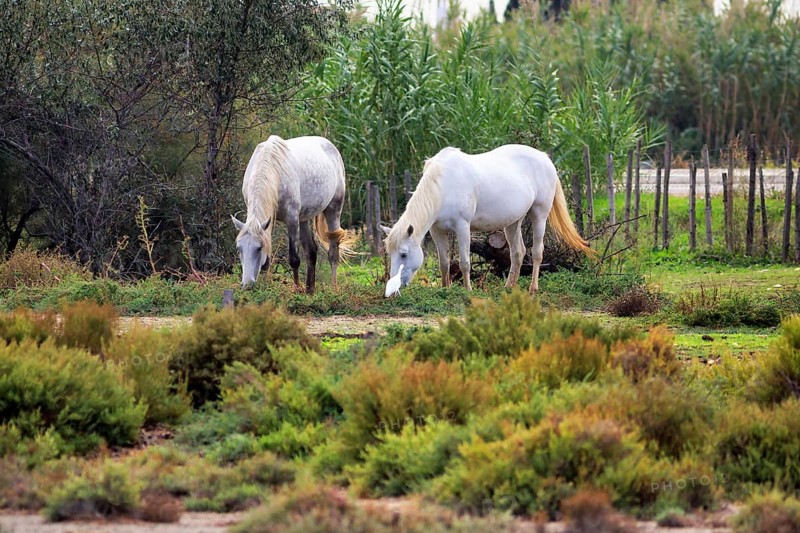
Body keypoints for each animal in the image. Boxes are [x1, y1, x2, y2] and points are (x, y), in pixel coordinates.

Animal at [231, 135, 351, 293]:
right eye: (239, 248)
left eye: (258, 248)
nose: (247, 285)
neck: (272, 169)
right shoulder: (269, 220)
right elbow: (267, 260)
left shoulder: (292, 218)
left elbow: (294, 258)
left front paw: (297, 289)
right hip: (304, 218)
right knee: (311, 251)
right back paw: (310, 290)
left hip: (333, 210)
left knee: (333, 252)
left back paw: (333, 288)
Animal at [381, 144, 594, 294]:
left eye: (404, 254)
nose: (393, 288)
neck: (442, 186)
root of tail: (544, 157)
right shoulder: (436, 231)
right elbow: (444, 263)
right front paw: (445, 289)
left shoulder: (462, 227)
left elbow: (464, 262)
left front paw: (467, 290)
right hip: (513, 222)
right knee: (518, 252)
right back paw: (509, 287)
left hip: (539, 215)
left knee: (536, 252)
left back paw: (533, 288)